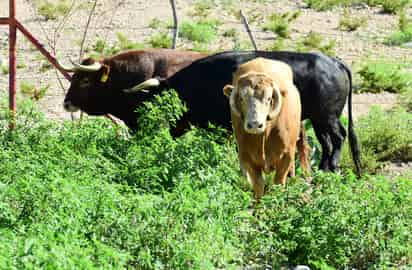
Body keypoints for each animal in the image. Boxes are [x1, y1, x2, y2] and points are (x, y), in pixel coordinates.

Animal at [63, 50, 360, 175]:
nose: (66, 103)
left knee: (337, 138)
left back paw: (331, 167)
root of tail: (334, 61)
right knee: (329, 141)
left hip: (326, 117)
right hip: (320, 119)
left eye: (84, 80)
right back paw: (324, 166)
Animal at [222, 57, 308, 200]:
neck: (264, 135)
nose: (255, 125)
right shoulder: (247, 159)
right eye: (241, 98)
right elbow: (258, 186)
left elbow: (278, 183)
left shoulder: (286, 157)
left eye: (268, 98)